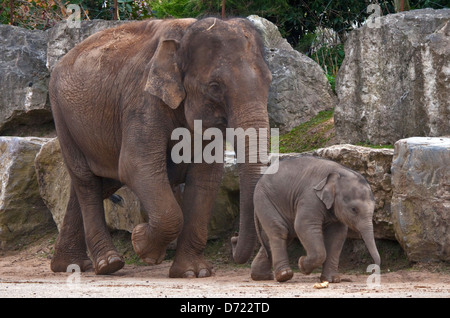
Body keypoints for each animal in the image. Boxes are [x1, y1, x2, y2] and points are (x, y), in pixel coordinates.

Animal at [48, 17, 270, 278]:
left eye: (269, 82)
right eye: (215, 86)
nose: (233, 241)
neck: (183, 35)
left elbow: (205, 178)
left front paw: (193, 273)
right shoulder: (143, 101)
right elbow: (136, 166)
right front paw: (143, 246)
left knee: (98, 183)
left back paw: (69, 266)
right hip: (62, 117)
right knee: (87, 182)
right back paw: (108, 264)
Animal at [251, 155, 382, 282]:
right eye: (354, 209)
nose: (372, 270)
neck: (339, 172)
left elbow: (337, 235)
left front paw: (332, 279)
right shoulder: (310, 197)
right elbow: (303, 225)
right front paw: (301, 264)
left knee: (281, 234)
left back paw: (260, 276)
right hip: (263, 199)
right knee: (279, 230)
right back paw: (284, 275)